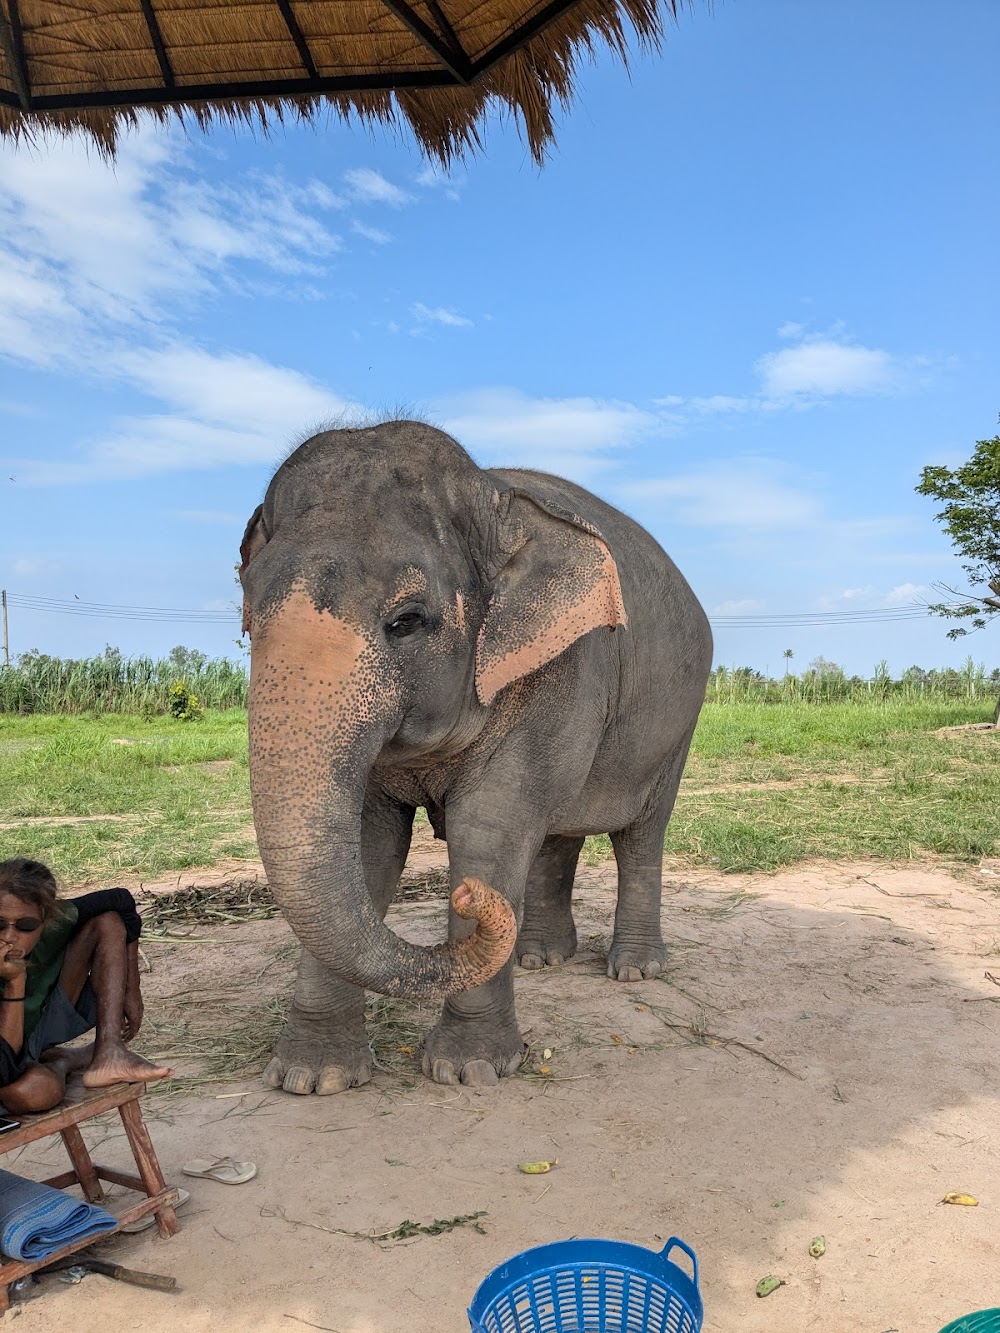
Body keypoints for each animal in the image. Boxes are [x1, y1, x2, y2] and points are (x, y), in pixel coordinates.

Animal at [241, 421, 714, 1087]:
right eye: (248, 613)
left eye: (408, 620)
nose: (469, 897)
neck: (493, 499)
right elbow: (366, 843)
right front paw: (312, 1078)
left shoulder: (559, 665)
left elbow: (488, 824)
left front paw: (470, 1070)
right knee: (556, 832)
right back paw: (541, 958)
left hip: (677, 722)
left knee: (641, 834)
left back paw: (635, 970)